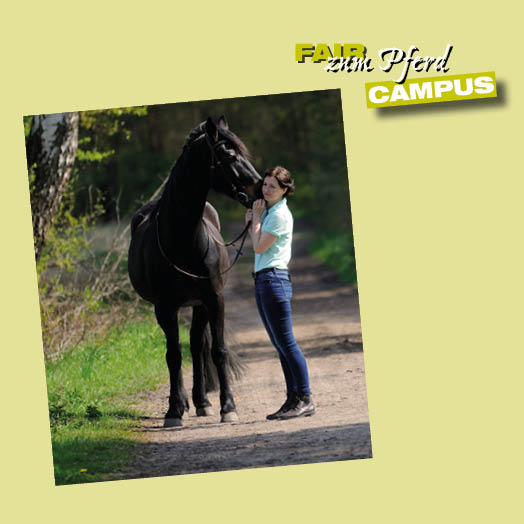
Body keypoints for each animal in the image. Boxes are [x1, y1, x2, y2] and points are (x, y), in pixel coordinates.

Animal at [128, 116, 262, 427]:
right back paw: (184, 403)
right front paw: (173, 410)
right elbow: (173, 355)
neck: (183, 239)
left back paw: (202, 402)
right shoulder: (165, 306)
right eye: (229, 155)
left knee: (198, 345)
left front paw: (228, 407)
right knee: (181, 348)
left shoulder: (214, 299)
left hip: (199, 305)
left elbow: (217, 351)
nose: (261, 188)